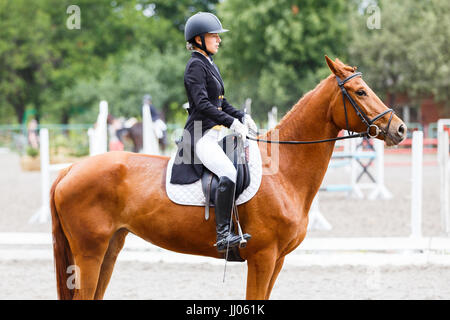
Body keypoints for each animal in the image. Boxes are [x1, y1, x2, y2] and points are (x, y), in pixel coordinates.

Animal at [51, 56, 406, 298]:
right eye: (360, 92)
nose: (400, 129)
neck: (283, 173)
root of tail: (71, 168)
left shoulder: (277, 260)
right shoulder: (263, 258)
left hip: (110, 248)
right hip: (89, 253)